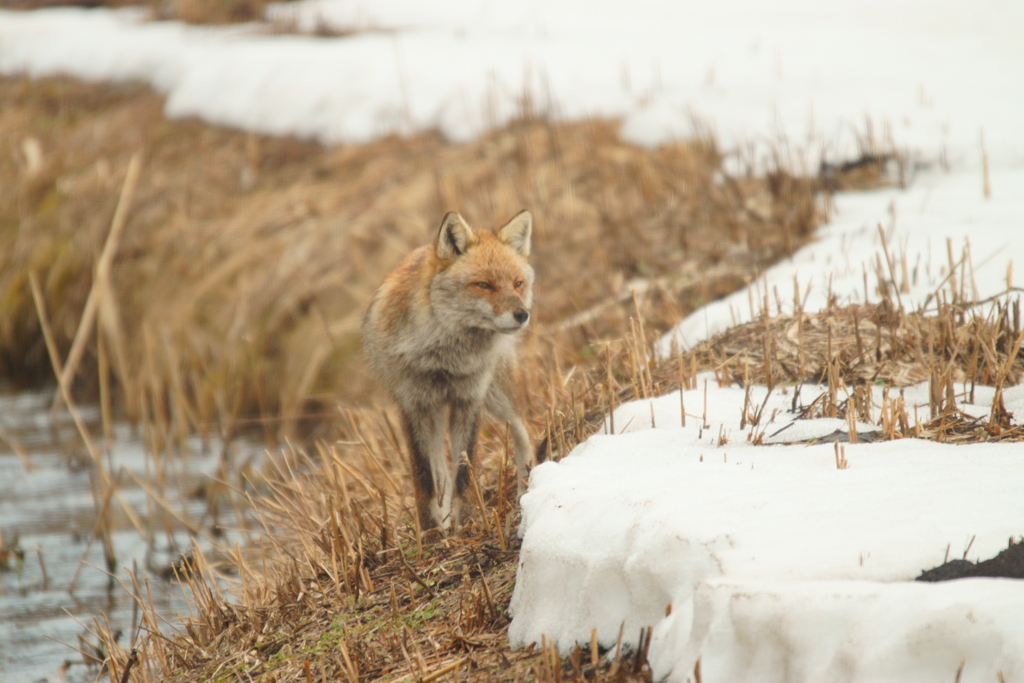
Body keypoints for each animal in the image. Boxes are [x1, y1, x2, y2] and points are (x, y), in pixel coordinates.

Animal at [362, 210, 536, 532]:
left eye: (517, 283)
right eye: (484, 285)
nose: (522, 314)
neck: (443, 357)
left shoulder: (469, 399)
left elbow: (464, 473)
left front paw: (465, 523)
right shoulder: (412, 403)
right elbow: (425, 476)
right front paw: (432, 531)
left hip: (498, 395)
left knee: (525, 432)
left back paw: (525, 498)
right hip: (436, 412)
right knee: (440, 470)